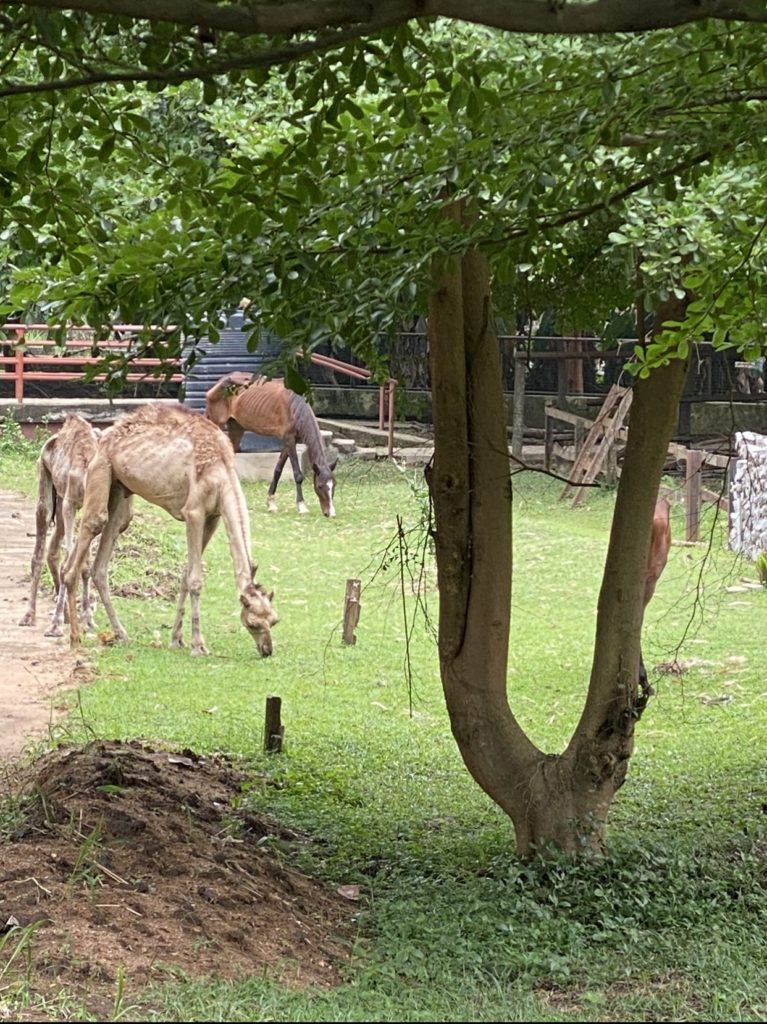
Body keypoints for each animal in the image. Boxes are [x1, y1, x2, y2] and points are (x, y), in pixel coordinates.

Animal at [204, 374, 335, 516]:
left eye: (334, 485)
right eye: (320, 486)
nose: (330, 513)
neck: (295, 407)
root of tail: (222, 380)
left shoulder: (288, 442)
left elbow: (277, 470)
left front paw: (271, 503)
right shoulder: (289, 440)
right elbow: (298, 474)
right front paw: (302, 506)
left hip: (236, 429)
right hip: (216, 424)